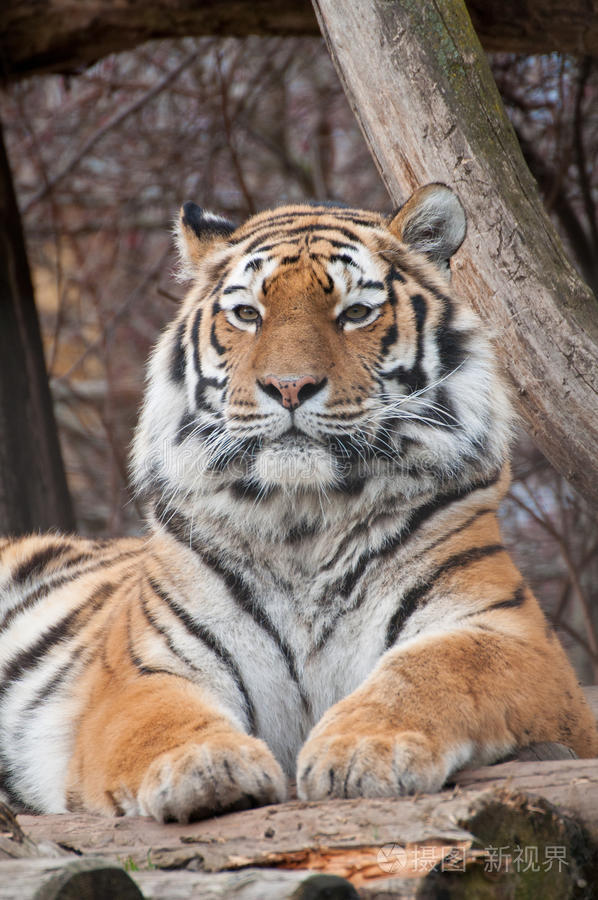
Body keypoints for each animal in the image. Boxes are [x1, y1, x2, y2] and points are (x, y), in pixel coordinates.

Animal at [1, 184, 596, 824]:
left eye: (356, 313)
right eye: (247, 315)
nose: (289, 387)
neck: (303, 519)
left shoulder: (509, 633)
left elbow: (431, 672)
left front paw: (364, 749)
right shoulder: (144, 669)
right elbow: (160, 718)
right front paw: (204, 767)